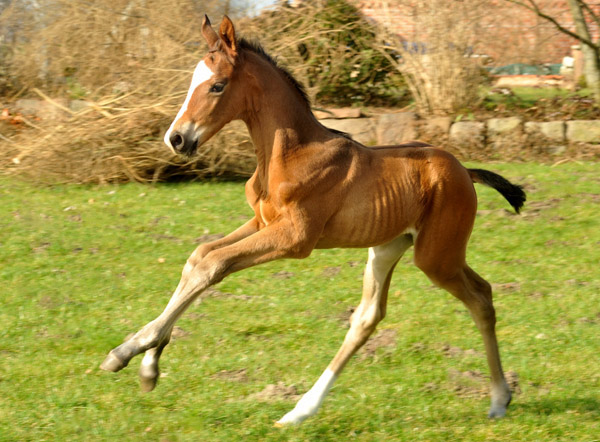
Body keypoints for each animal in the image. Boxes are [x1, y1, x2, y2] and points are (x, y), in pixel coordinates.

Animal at [102, 15, 524, 424]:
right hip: (387, 247)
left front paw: (128, 351)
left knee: (481, 298)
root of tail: (464, 170)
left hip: (437, 256)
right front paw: (149, 364)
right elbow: (199, 257)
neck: (290, 153)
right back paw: (300, 410)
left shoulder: (295, 238)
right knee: (368, 318)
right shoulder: (262, 223)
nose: (176, 139)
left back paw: (499, 399)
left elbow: (213, 264)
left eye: (218, 86)